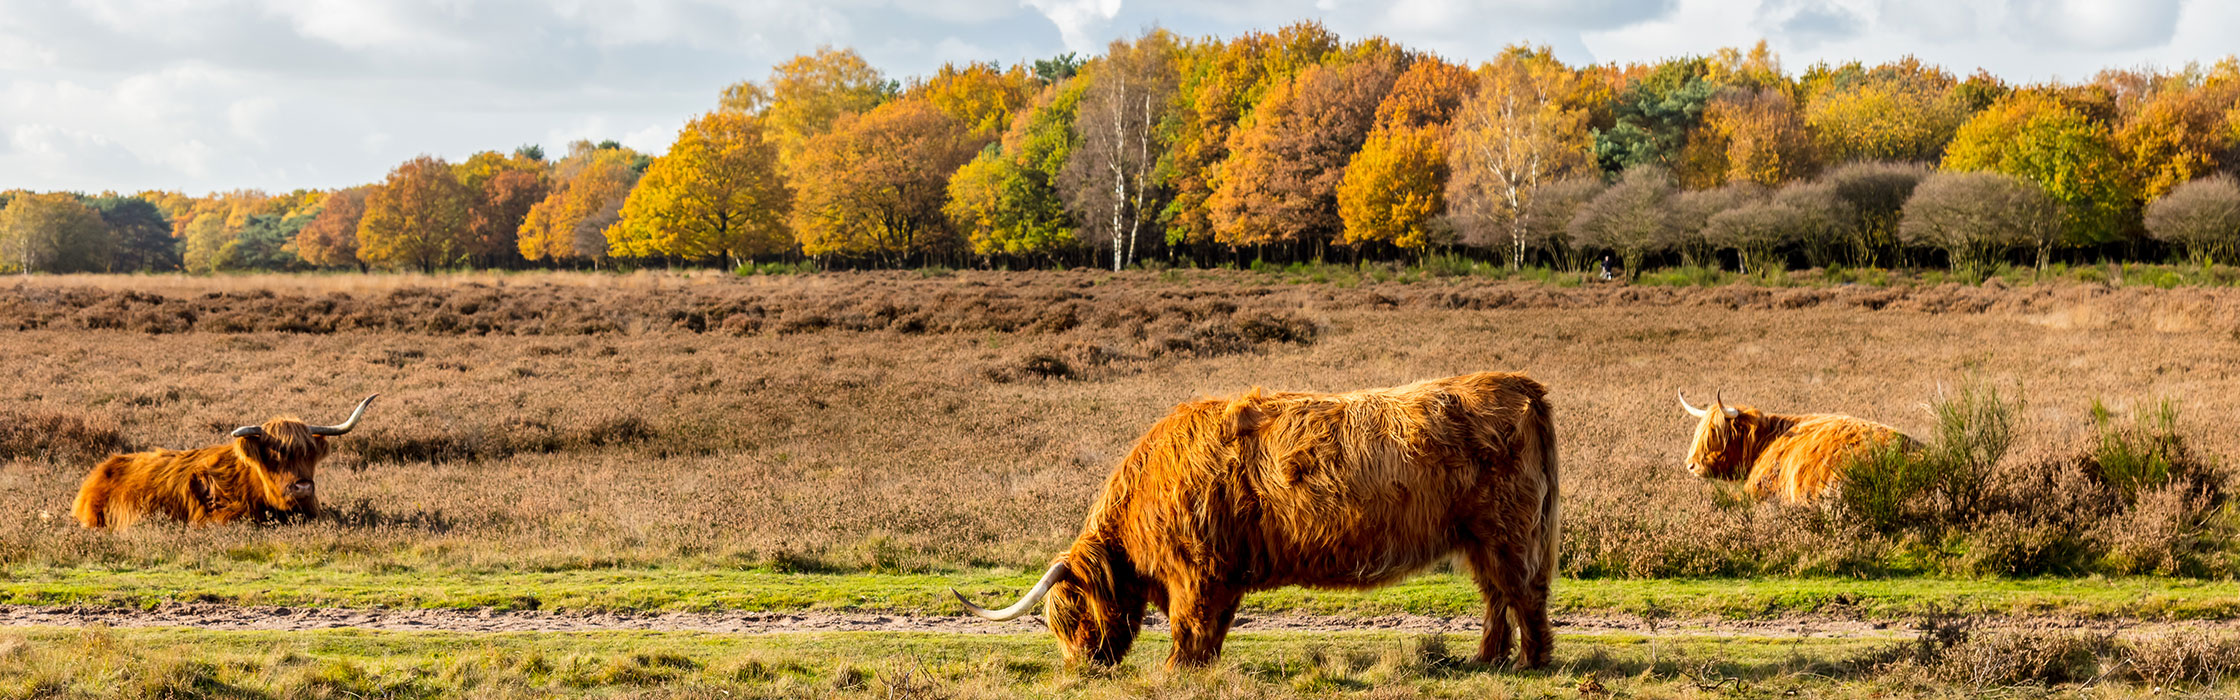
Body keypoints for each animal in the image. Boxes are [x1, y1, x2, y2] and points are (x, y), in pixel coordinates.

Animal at [949, 374, 1559, 668]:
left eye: (1070, 613)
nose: (1082, 668)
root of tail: (1521, 385)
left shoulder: (1196, 569)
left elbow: (1189, 624)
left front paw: (1174, 670)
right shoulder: (1224, 570)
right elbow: (1214, 626)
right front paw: (1201, 668)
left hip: (1507, 530)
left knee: (1523, 592)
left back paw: (1530, 663)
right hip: (1479, 538)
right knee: (1496, 596)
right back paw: (1486, 659)